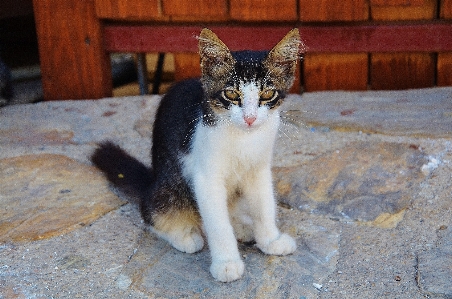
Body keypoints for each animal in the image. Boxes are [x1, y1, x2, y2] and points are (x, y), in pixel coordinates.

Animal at [91, 28, 304, 284]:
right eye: (231, 93)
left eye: (268, 93)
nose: (250, 118)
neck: (244, 138)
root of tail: (151, 183)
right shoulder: (206, 177)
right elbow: (217, 223)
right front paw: (226, 263)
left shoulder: (259, 170)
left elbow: (264, 206)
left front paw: (271, 241)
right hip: (169, 188)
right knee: (151, 214)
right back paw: (184, 236)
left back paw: (241, 226)